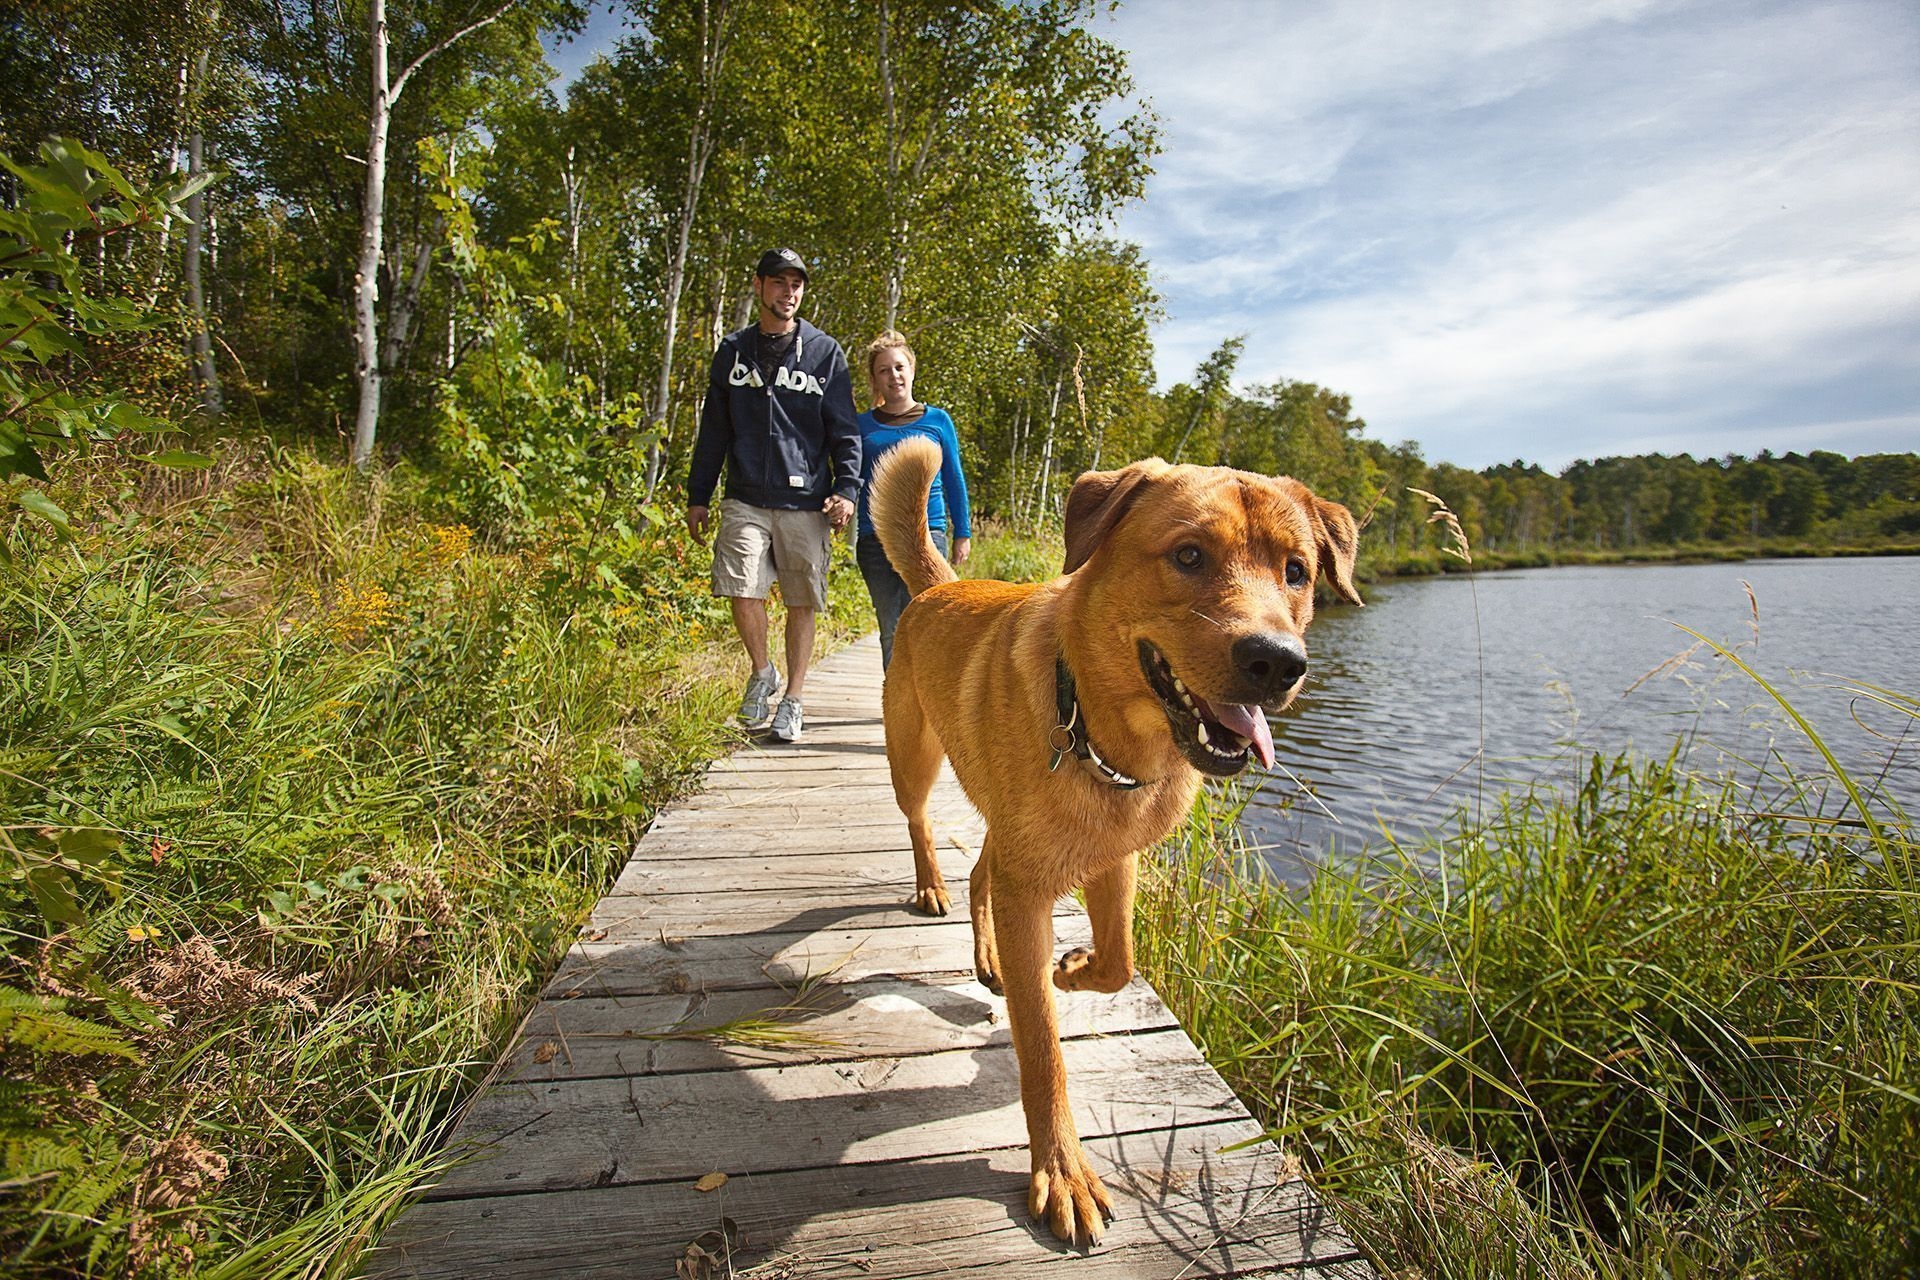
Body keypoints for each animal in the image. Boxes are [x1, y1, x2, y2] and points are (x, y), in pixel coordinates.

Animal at [875, 441, 1367, 1251]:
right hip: (913, 759)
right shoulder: (1031, 887)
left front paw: (1068, 969)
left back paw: (988, 954)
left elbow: (1118, 963)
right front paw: (1064, 1172)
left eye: (1297, 571)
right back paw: (930, 887)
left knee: (981, 869)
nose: (1277, 662)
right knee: (923, 829)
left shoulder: (1113, 861)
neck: (1104, 737)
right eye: (1190, 555)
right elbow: (1043, 1054)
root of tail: (942, 586)